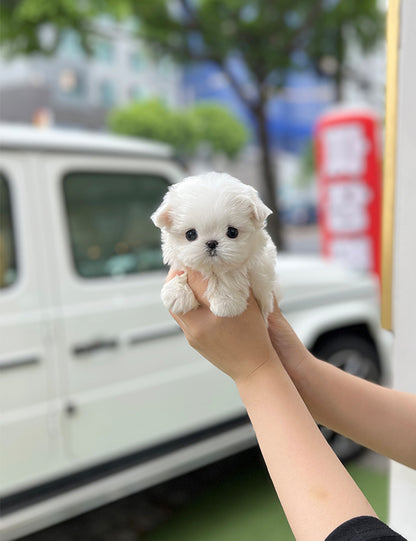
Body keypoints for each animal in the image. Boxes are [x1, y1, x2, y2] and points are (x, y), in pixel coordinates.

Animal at [151, 171, 278, 318]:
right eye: (190, 234)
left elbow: (229, 274)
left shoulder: (259, 264)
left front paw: (226, 303)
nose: (211, 243)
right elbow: (182, 271)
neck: (211, 269)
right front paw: (176, 295)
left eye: (232, 232)